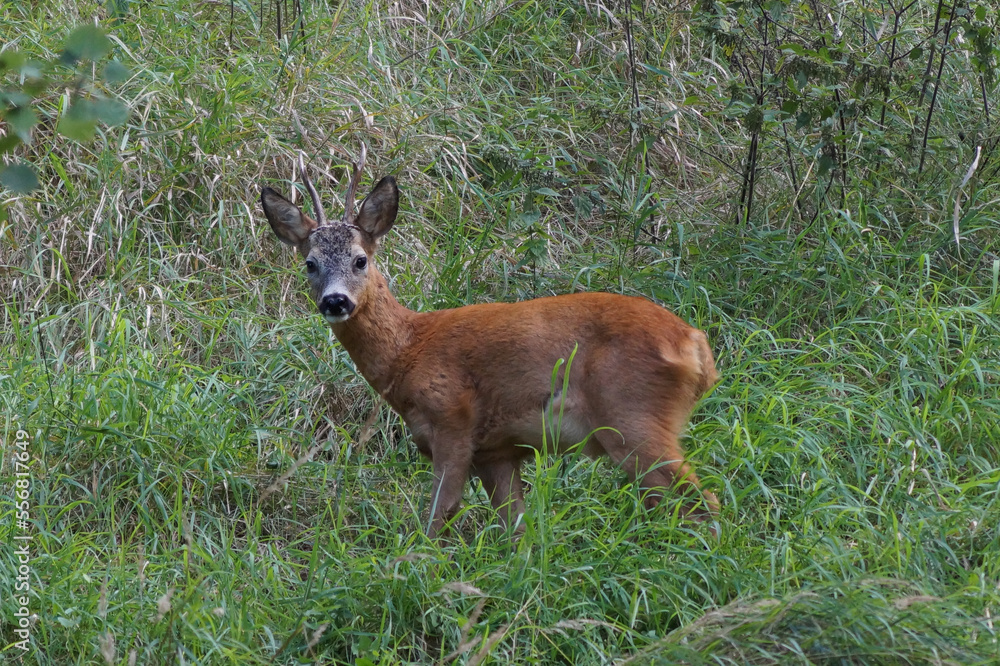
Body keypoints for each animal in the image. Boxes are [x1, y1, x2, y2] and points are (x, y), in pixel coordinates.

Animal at [260, 149, 720, 539]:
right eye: (310, 263)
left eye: (360, 259)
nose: (335, 301)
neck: (408, 351)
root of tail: (696, 345)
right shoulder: (496, 452)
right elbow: (517, 531)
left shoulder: (453, 422)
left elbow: (437, 518)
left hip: (633, 416)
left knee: (702, 505)